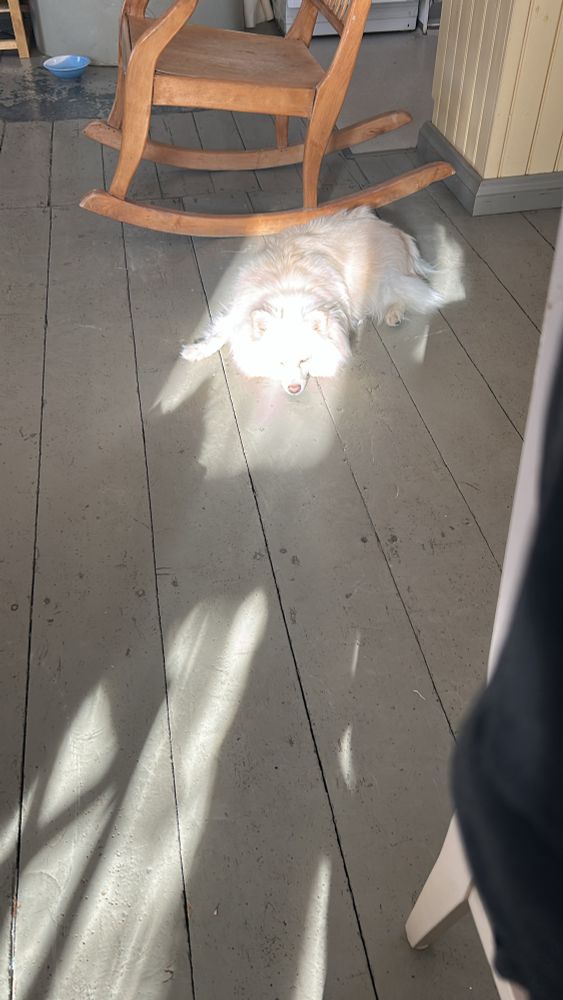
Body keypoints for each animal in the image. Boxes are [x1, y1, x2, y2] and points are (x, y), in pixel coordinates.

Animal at [181, 207, 442, 395]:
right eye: (280, 362)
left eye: (304, 360)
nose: (294, 389)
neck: (288, 290)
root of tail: (398, 233)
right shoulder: (239, 310)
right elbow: (219, 333)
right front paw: (196, 350)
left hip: (381, 285)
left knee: (408, 292)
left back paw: (393, 315)